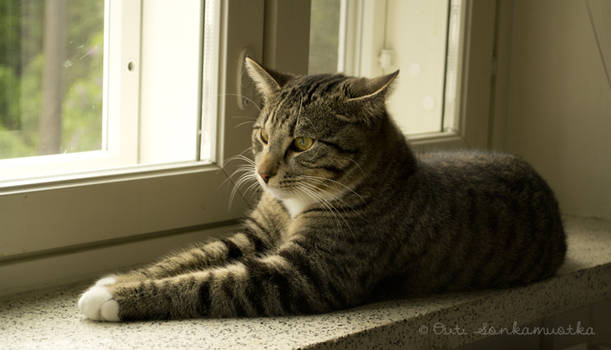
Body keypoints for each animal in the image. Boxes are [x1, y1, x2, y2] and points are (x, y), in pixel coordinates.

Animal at [79, 56, 568, 320]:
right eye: (262, 135)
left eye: (303, 143)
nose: (262, 174)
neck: (297, 203)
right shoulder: (257, 233)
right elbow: (196, 255)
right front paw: (120, 278)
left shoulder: (311, 272)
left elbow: (214, 282)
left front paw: (111, 298)